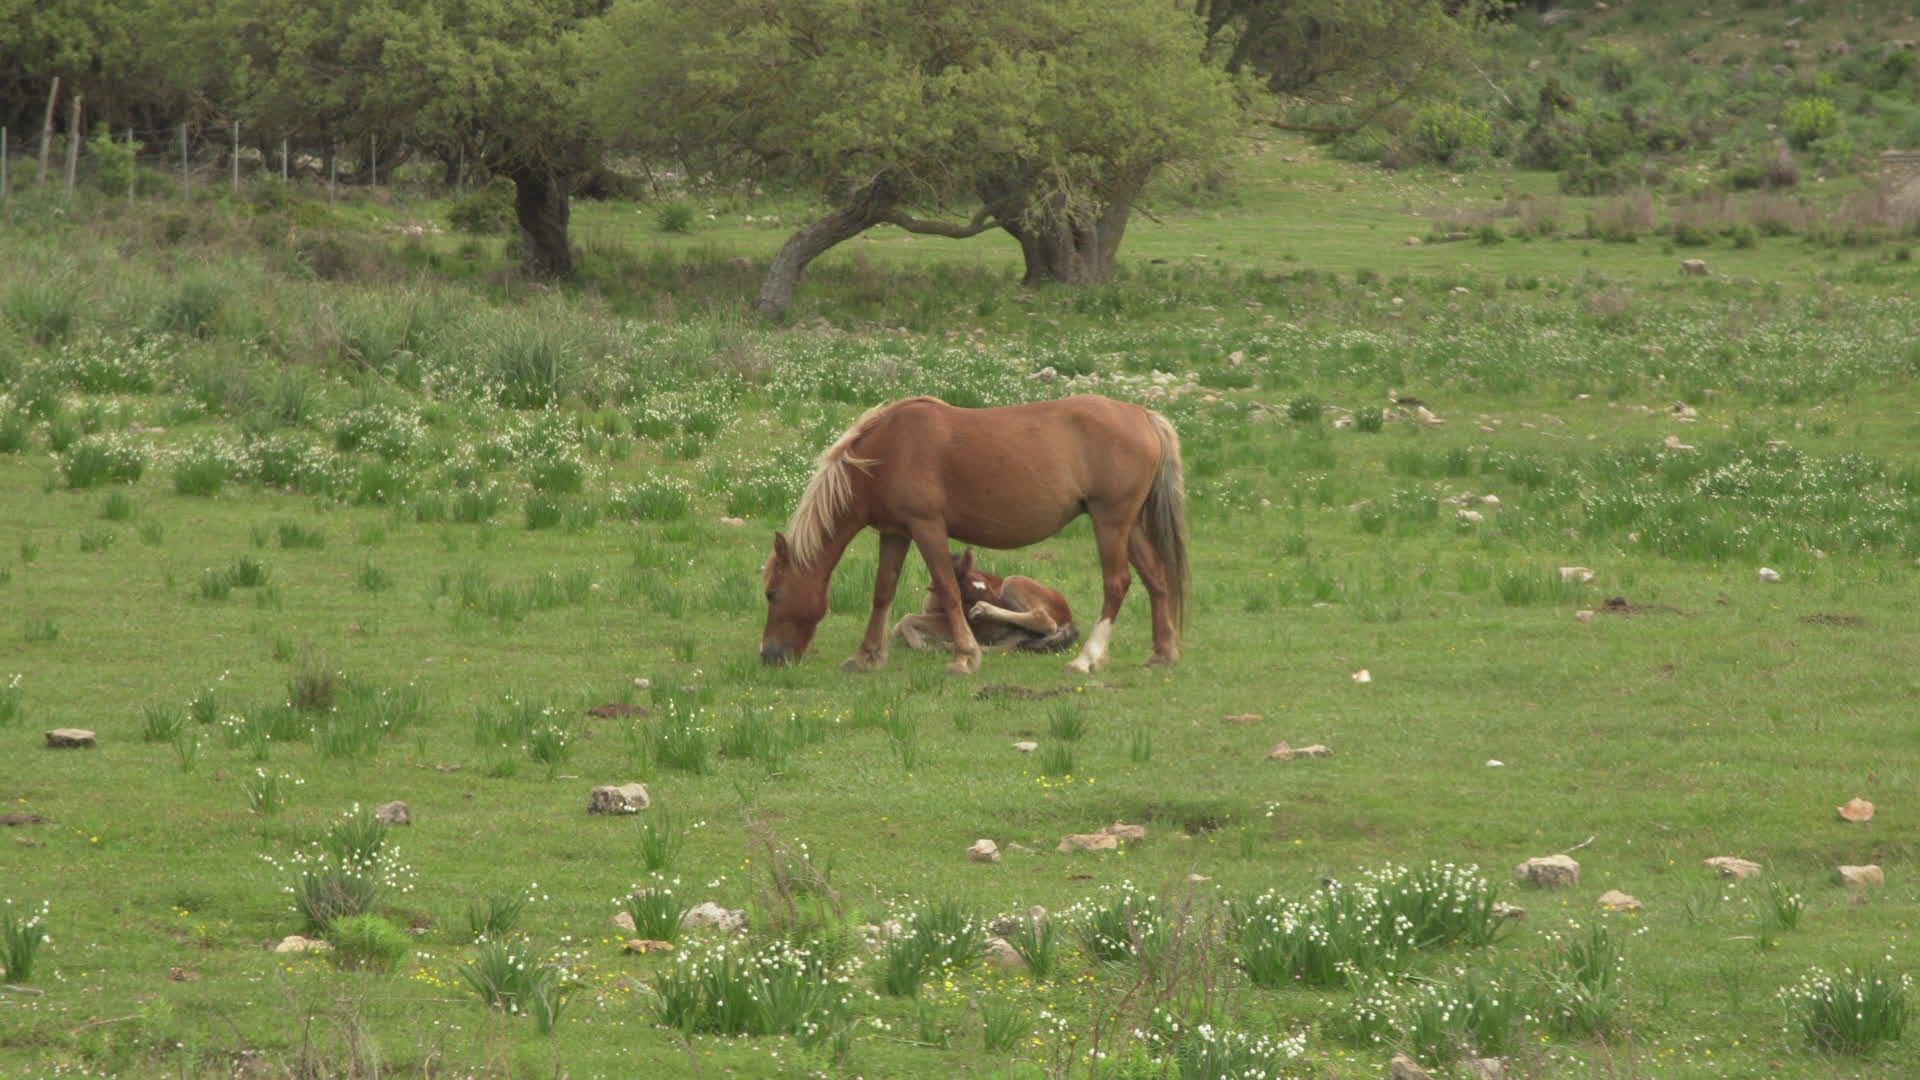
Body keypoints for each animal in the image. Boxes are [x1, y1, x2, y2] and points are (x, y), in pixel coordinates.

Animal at [891, 548, 1080, 655]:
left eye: (989, 586)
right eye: (968, 597)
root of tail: (1069, 618)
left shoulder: (954, 623)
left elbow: (906, 619)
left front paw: (921, 645)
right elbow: (896, 628)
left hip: (1012, 581)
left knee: (1042, 618)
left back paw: (981, 611)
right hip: (1016, 638)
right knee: (1005, 648)